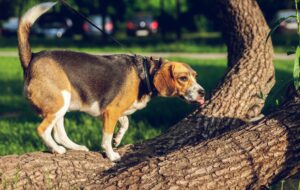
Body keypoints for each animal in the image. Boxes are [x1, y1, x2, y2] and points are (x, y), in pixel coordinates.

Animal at [17, 2, 205, 161]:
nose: (202, 92)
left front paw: (117, 139)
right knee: (42, 130)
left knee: (59, 133)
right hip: (60, 101)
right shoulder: (110, 111)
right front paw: (111, 154)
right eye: (183, 78)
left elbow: (125, 123)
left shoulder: (115, 111)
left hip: (62, 104)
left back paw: (76, 147)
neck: (145, 73)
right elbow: (106, 137)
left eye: (195, 76)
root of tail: (32, 58)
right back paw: (56, 149)